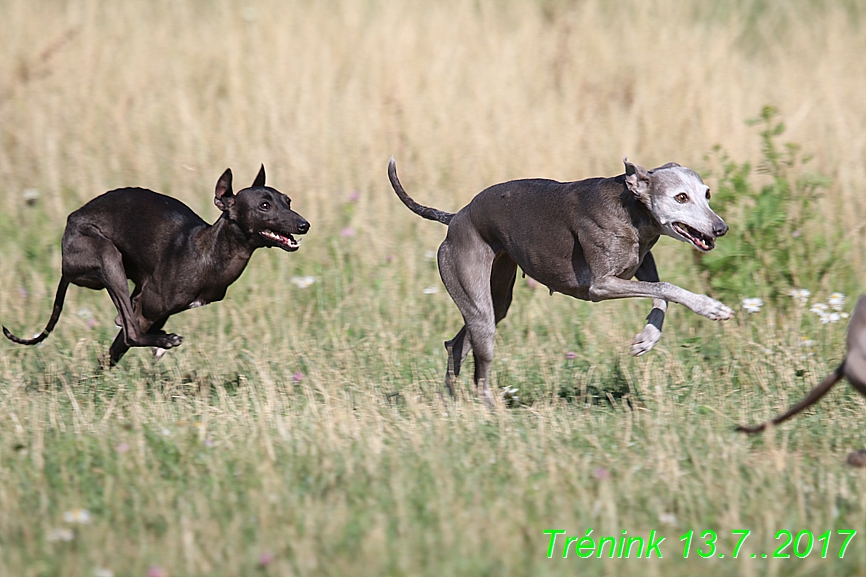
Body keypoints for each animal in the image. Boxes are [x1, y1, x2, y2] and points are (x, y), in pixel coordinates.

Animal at [1, 165, 308, 364]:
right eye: (265, 205)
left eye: (288, 201)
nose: (304, 225)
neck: (208, 252)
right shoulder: (149, 306)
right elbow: (127, 334)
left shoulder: (153, 307)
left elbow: (117, 344)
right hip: (107, 257)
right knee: (132, 333)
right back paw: (164, 341)